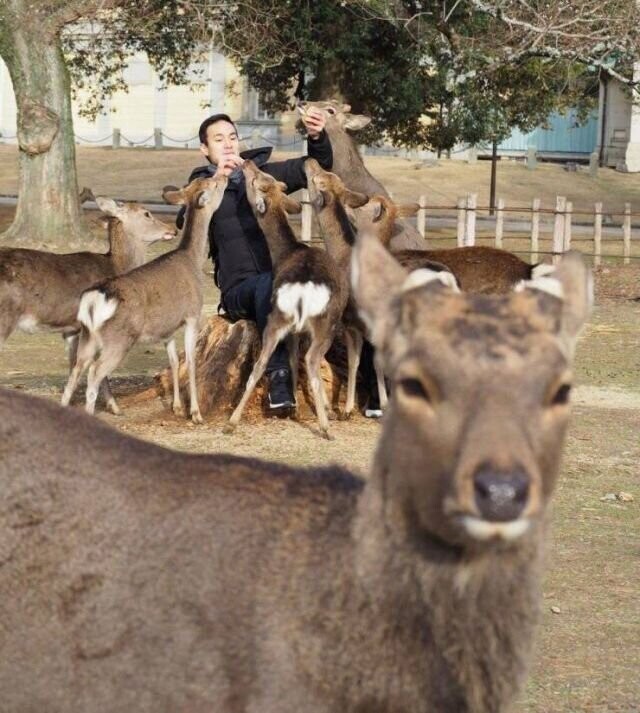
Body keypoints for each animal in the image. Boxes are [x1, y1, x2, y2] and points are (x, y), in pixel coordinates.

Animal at [60, 175, 229, 420]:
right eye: (212, 184)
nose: (225, 176)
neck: (192, 260)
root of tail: (93, 300)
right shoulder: (192, 315)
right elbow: (190, 362)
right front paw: (196, 414)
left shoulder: (167, 327)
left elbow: (173, 362)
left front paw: (177, 407)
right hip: (118, 339)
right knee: (94, 373)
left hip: (87, 336)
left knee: (75, 370)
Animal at [224, 161, 348, 440]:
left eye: (262, 177)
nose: (247, 163)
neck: (287, 251)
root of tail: (303, 288)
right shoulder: (301, 331)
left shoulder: (292, 330)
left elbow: (289, 361)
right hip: (324, 325)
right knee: (311, 361)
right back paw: (326, 427)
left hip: (277, 320)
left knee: (259, 365)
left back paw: (231, 423)